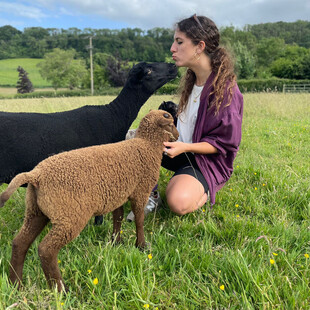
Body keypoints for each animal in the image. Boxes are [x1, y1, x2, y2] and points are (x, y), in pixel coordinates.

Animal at [0, 110, 179, 292]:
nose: (178, 136)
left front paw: (116, 242)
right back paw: (61, 290)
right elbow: (139, 220)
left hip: (36, 211)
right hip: (70, 216)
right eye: (171, 123)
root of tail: (36, 175)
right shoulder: (140, 191)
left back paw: (16, 285)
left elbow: (118, 217)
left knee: (19, 243)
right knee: (46, 250)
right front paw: (141, 246)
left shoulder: (119, 194)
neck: (147, 144)